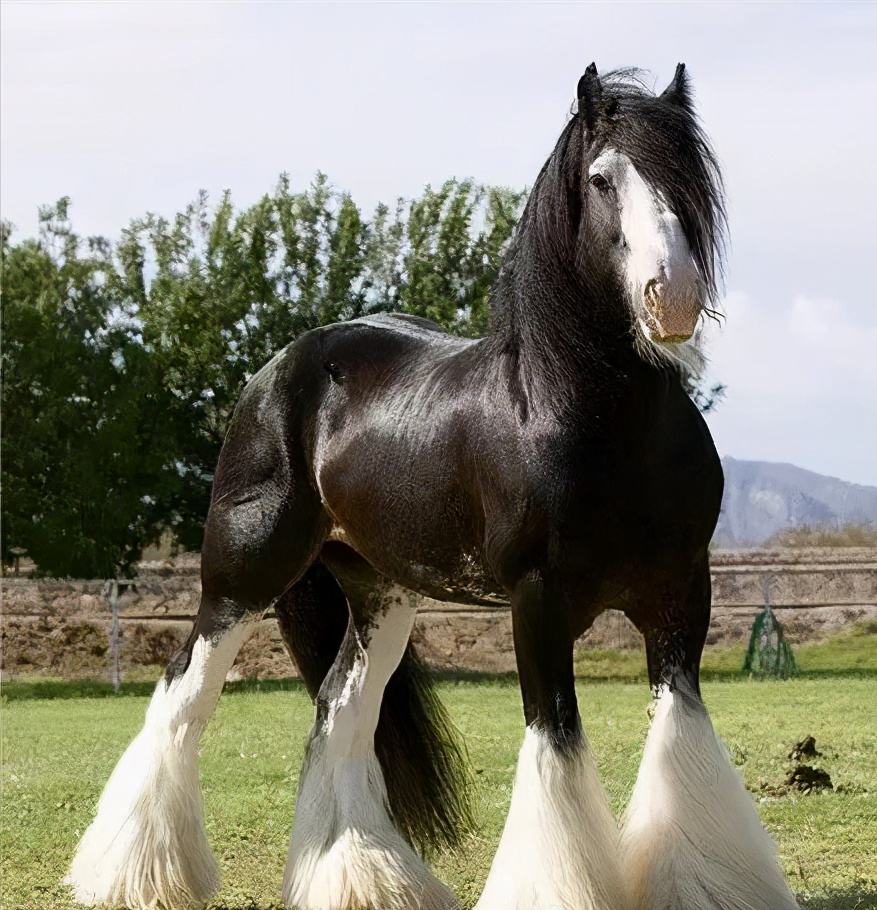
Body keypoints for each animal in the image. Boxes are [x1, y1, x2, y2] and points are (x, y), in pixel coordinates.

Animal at [69, 64, 799, 910]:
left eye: (687, 179)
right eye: (601, 179)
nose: (670, 295)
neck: (588, 419)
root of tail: (278, 369)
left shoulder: (680, 594)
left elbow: (681, 742)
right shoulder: (537, 602)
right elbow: (553, 745)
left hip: (380, 596)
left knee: (338, 711)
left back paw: (363, 880)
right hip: (241, 575)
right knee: (181, 693)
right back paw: (133, 874)